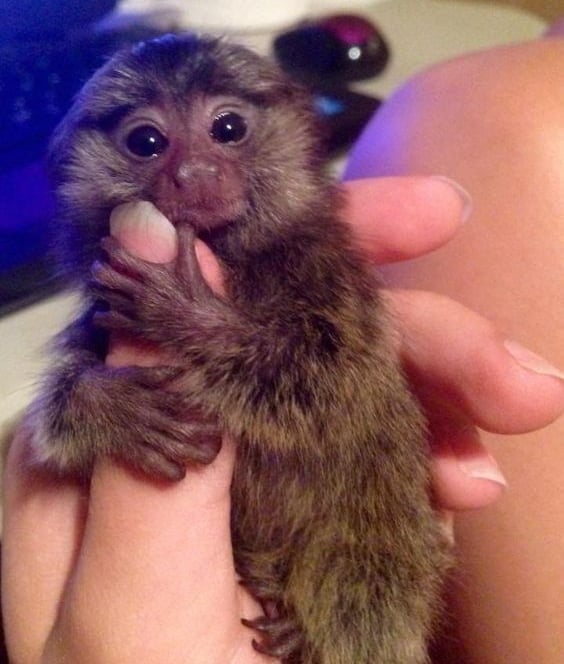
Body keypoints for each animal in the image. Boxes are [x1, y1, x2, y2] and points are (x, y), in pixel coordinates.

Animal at [28, 34, 450, 663]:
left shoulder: (332, 277)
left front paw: (188, 315)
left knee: (366, 583)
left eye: (228, 128)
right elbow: (58, 417)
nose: (195, 172)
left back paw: (307, 627)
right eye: (146, 142)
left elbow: (332, 387)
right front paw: (108, 408)